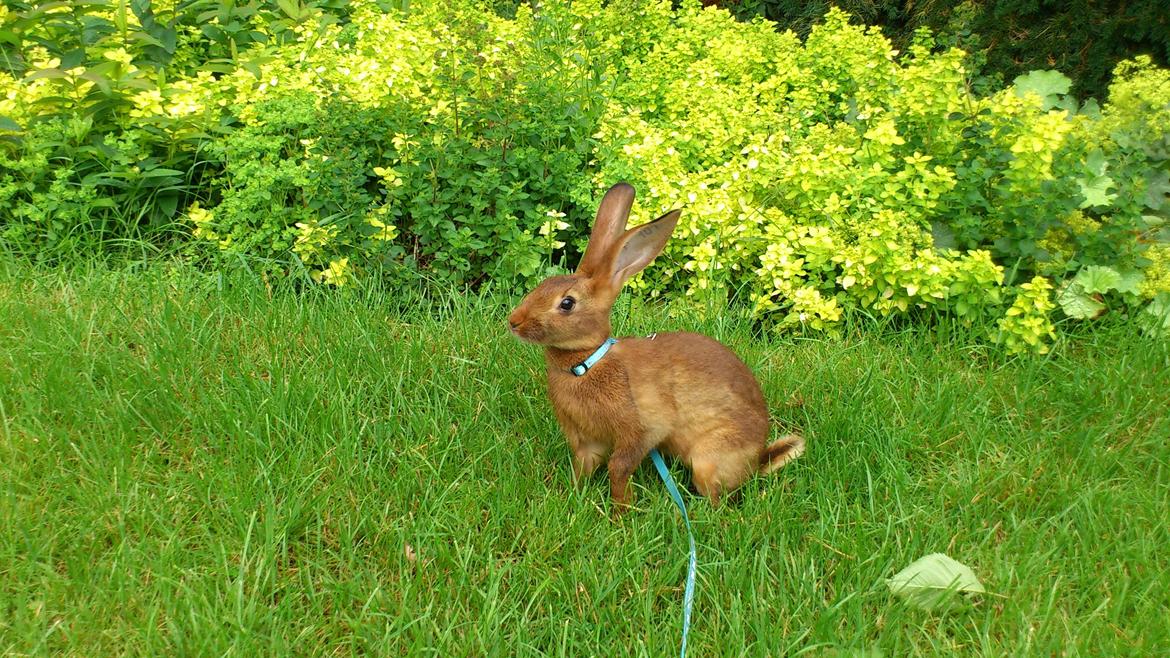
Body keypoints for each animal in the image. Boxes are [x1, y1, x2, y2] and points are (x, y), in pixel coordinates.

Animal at [507, 182, 805, 512]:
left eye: (567, 304)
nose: (514, 322)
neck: (587, 362)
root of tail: (755, 463)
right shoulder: (587, 441)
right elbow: (583, 466)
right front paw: (573, 495)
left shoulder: (643, 430)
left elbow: (618, 467)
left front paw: (620, 512)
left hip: (708, 459)